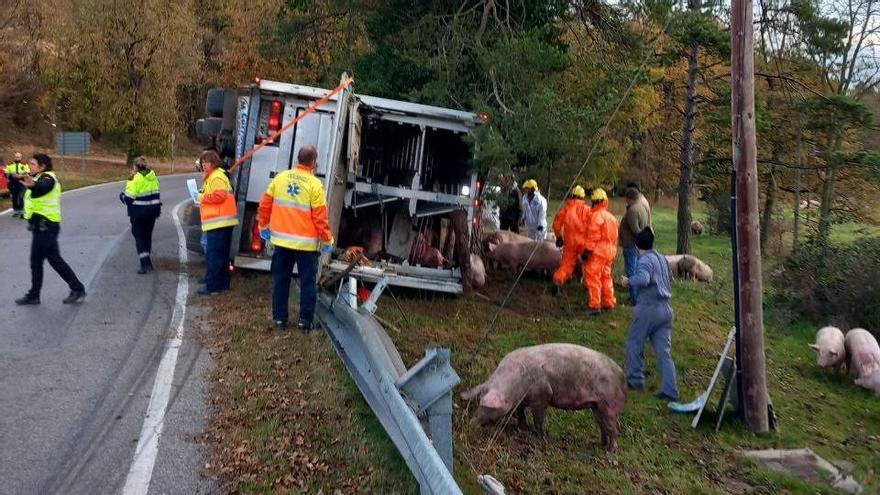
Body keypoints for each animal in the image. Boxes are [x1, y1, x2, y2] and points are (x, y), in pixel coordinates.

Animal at [460, 344, 624, 454]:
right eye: (479, 401)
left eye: (488, 406)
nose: (471, 423)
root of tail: (621, 374)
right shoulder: (523, 401)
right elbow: (521, 412)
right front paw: (521, 427)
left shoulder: (542, 396)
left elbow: (539, 420)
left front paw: (541, 438)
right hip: (596, 406)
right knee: (602, 426)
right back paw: (600, 445)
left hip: (609, 404)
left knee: (614, 429)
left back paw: (610, 452)